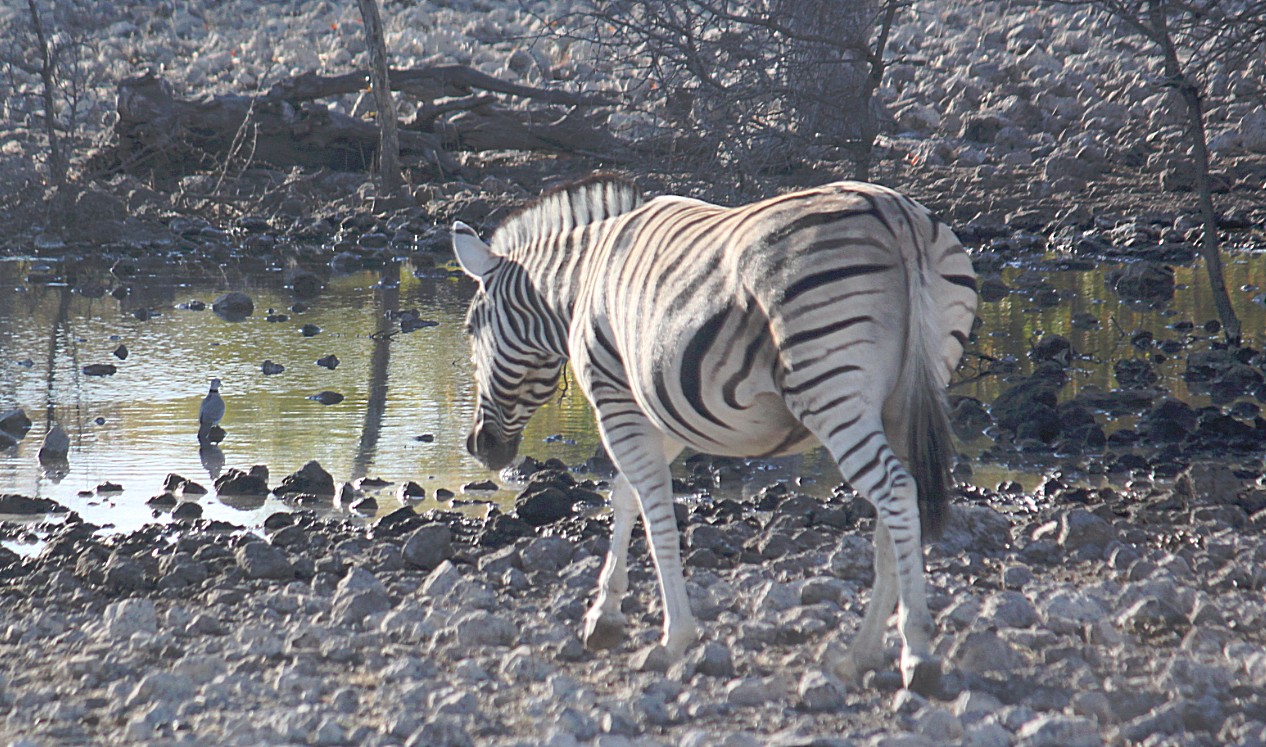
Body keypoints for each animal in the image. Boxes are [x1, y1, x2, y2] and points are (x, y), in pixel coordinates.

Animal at [455, 177, 977, 698]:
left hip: (832, 390)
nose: (478, 446)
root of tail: (892, 212)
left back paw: (917, 653)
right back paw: (859, 655)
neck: (583, 280)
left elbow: (656, 518)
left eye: (471, 327)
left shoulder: (617, 398)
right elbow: (625, 497)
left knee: (896, 491)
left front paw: (673, 638)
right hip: (907, 395)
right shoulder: (658, 412)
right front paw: (605, 616)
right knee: (899, 506)